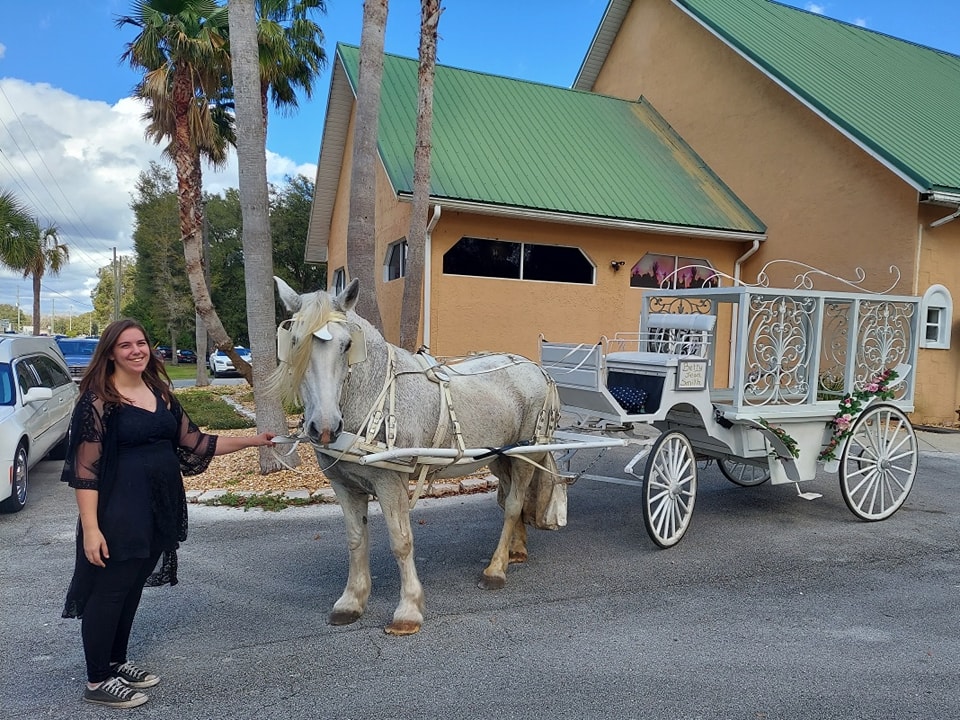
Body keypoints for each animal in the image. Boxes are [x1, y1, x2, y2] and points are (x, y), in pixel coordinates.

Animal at [270, 278, 564, 636]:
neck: (373, 397)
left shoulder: (390, 482)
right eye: (293, 342)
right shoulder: (344, 485)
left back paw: (496, 569)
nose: (324, 428)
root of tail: (535, 368)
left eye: (347, 345)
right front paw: (351, 601)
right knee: (513, 498)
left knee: (512, 505)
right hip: (498, 456)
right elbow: (356, 540)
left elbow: (401, 542)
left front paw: (408, 610)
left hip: (526, 452)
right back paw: (516, 550)